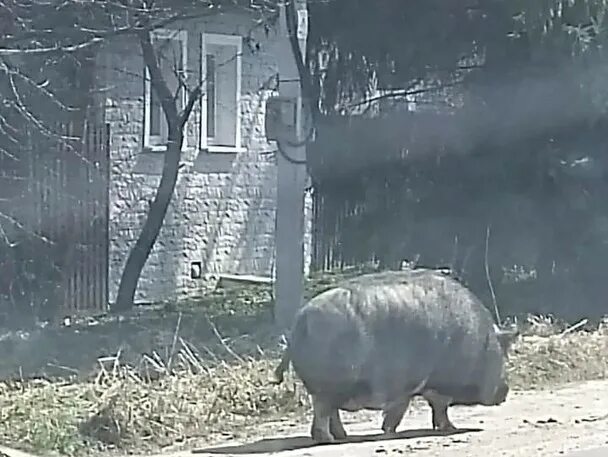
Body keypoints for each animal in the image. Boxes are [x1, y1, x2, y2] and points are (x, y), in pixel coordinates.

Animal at [270, 268, 516, 442]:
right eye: (502, 357)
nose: (506, 390)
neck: (481, 343)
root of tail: (300, 321)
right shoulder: (416, 384)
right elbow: (428, 406)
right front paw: (390, 431)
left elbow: (434, 407)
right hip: (328, 385)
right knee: (323, 411)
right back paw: (328, 439)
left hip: (330, 387)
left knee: (331, 412)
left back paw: (342, 436)